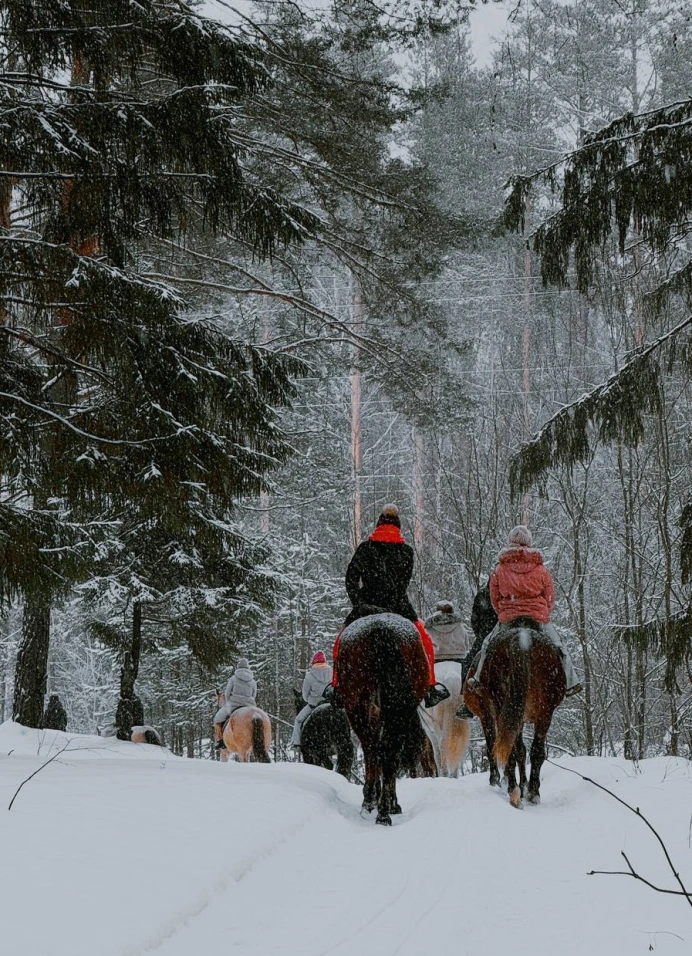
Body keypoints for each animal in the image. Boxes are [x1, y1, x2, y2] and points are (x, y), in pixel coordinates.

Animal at [334, 616, 428, 824]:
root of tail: (380, 628)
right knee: (387, 752)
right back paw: (385, 808)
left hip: (359, 708)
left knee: (373, 750)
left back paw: (373, 802)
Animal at [462, 620, 564, 808]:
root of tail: (521, 639)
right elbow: (522, 750)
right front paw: (524, 786)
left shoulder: (487, 715)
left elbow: (499, 746)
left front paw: (500, 780)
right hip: (543, 712)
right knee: (535, 750)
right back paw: (531, 792)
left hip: (499, 709)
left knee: (501, 746)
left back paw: (511, 789)